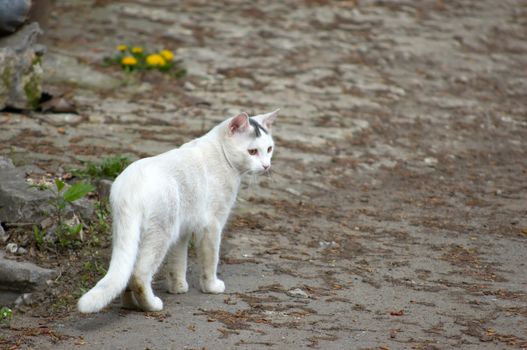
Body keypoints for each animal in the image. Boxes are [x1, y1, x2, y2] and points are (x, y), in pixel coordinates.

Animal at [78, 109, 280, 312]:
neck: (221, 154)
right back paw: (152, 305)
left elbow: (178, 261)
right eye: (252, 151)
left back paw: (130, 305)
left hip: (132, 233)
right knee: (139, 275)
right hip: (160, 234)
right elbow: (210, 261)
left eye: (269, 149)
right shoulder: (212, 225)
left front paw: (178, 287)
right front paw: (211, 287)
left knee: (127, 272)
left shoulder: (183, 230)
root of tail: (130, 187)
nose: (266, 166)